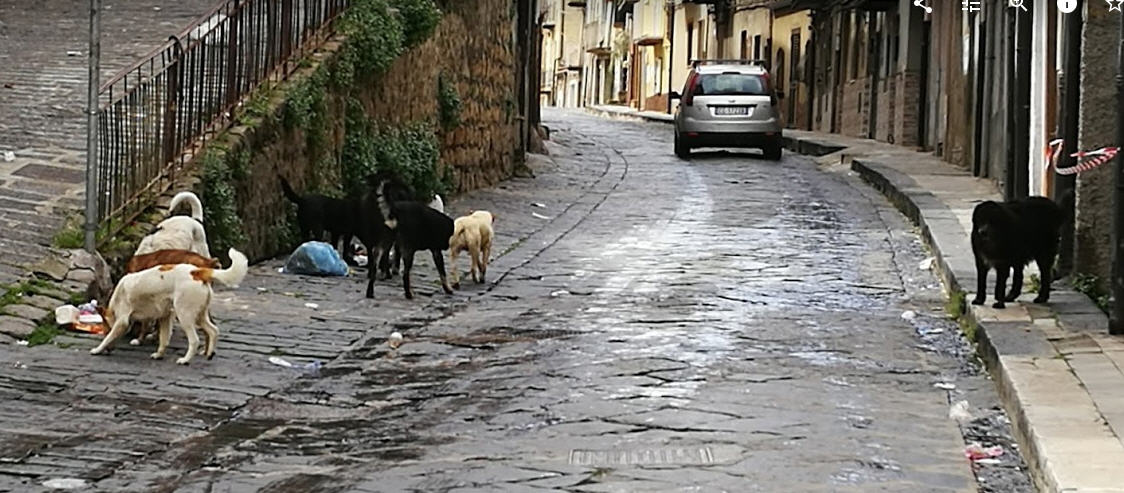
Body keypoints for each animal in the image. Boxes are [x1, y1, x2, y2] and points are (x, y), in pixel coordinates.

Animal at [92, 249, 250, 363]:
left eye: (105, 328)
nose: (109, 351)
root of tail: (197, 272)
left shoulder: (122, 321)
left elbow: (110, 337)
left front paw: (98, 349)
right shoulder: (164, 317)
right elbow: (164, 339)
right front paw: (159, 354)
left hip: (185, 315)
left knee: (195, 340)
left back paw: (185, 360)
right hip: (200, 315)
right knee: (213, 330)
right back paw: (209, 353)